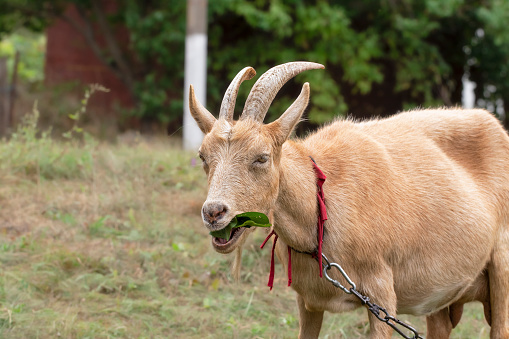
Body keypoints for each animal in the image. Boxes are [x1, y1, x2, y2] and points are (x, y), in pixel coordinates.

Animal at [188, 61, 508, 339]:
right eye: (203, 157)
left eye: (261, 158)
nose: (214, 212)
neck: (321, 205)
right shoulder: (308, 302)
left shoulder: (382, 295)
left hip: (502, 267)